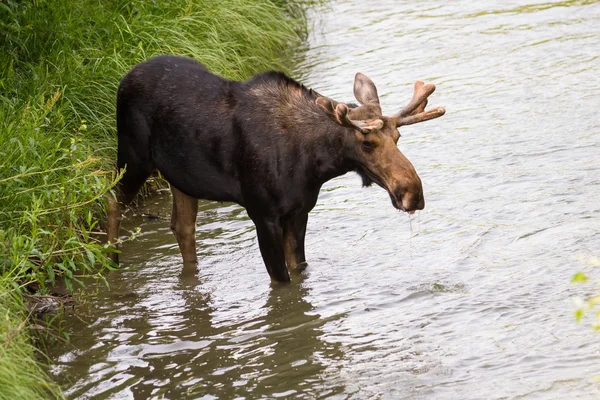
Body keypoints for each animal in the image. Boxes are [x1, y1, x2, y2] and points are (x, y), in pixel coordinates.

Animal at [106, 54, 446, 282]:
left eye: (398, 137)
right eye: (366, 143)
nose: (413, 193)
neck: (316, 164)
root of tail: (123, 79)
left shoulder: (299, 212)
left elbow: (300, 270)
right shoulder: (262, 215)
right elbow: (282, 282)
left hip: (182, 178)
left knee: (182, 226)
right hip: (134, 157)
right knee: (112, 201)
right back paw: (112, 261)